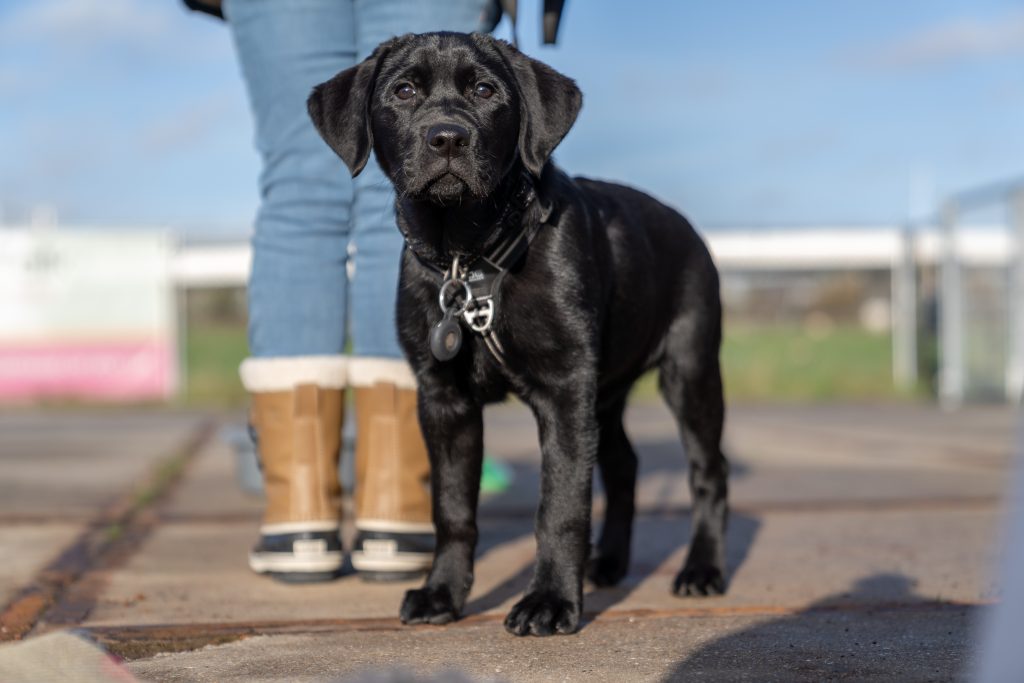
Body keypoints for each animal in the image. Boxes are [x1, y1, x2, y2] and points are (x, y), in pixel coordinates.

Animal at [307, 31, 724, 638]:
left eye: (485, 90)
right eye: (403, 91)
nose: (447, 137)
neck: (470, 259)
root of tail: (685, 224)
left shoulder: (565, 389)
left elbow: (562, 506)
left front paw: (549, 602)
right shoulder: (444, 400)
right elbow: (452, 509)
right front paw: (442, 594)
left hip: (689, 371)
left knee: (707, 472)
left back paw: (703, 570)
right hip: (607, 393)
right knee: (624, 466)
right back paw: (610, 562)